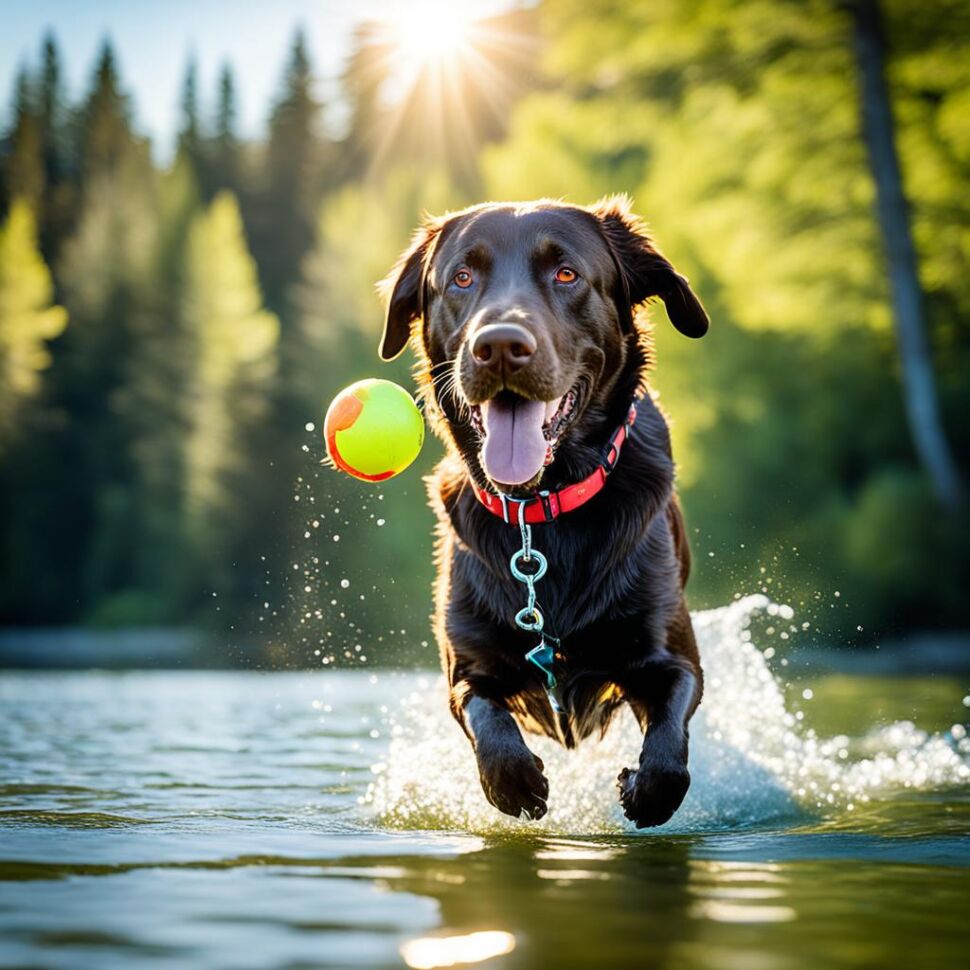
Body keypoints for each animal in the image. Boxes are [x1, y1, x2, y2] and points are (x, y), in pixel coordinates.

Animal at [374, 197, 708, 824]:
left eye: (567, 273)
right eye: (462, 277)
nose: (500, 346)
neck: (542, 512)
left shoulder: (672, 658)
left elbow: (668, 754)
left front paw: (640, 786)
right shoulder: (466, 666)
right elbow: (486, 719)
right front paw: (517, 784)